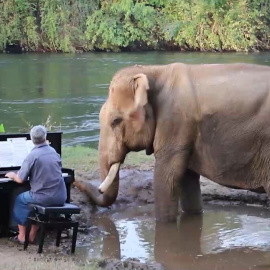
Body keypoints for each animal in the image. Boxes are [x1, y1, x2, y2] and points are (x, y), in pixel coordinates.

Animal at [75, 62, 270, 221]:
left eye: (115, 121)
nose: (75, 181)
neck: (153, 71)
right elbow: (187, 179)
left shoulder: (174, 122)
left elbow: (167, 178)